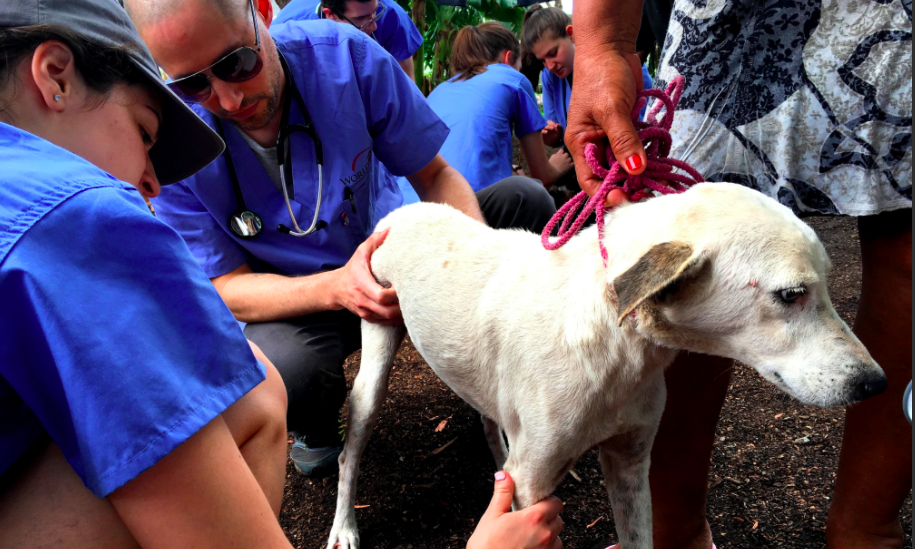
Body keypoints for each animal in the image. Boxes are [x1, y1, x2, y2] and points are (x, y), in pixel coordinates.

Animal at [328, 183, 888, 548]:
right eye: (791, 294)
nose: (876, 383)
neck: (619, 352)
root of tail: (399, 212)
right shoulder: (533, 488)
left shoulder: (630, 462)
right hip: (372, 368)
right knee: (349, 454)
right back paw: (344, 529)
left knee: (489, 420)